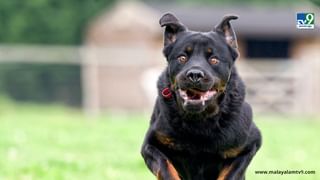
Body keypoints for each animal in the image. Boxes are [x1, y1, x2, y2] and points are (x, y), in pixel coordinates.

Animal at [141, 13, 262, 180]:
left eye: (214, 59)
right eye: (182, 58)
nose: (195, 74)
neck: (200, 120)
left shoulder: (249, 147)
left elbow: (230, 174)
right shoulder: (150, 144)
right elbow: (165, 168)